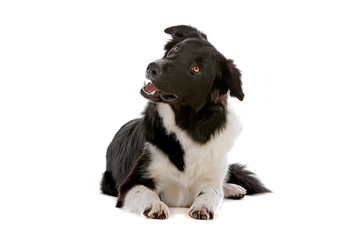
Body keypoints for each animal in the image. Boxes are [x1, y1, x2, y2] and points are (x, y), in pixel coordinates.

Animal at [100, 24, 268, 219]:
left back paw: (232, 188)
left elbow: (212, 192)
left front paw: (204, 205)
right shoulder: (129, 183)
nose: (152, 67)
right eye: (176, 49)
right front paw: (155, 205)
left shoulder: (211, 177)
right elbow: (145, 192)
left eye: (196, 69)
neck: (186, 127)